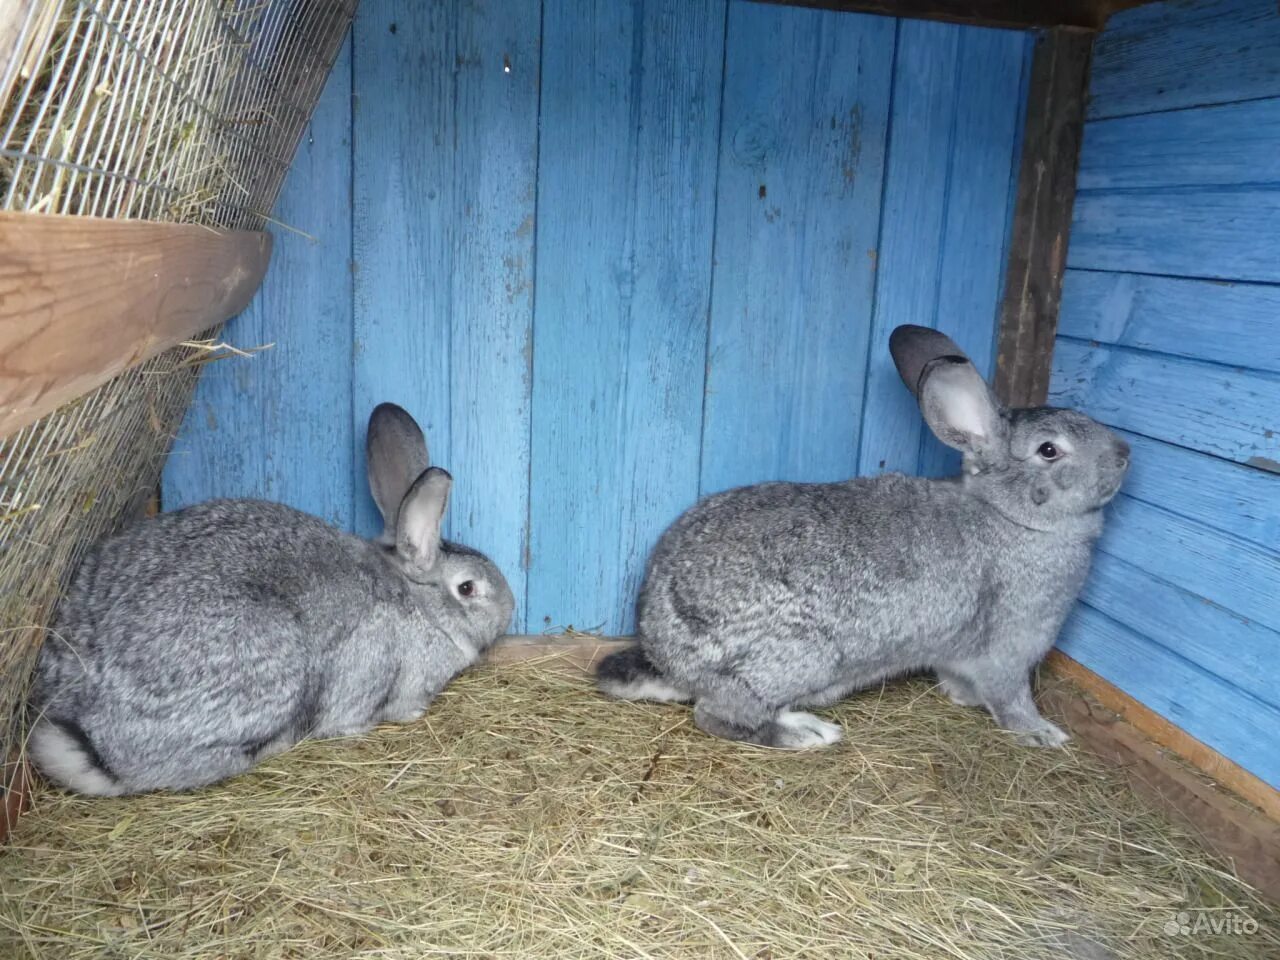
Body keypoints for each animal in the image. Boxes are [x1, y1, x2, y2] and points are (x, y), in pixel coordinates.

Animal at [593, 327, 1126, 757]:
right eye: (1049, 450)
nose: (1125, 454)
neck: (1010, 517)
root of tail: (666, 655)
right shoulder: (1010, 646)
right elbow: (1011, 697)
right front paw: (1042, 733)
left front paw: (962, 696)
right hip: (802, 659)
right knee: (719, 715)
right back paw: (807, 734)